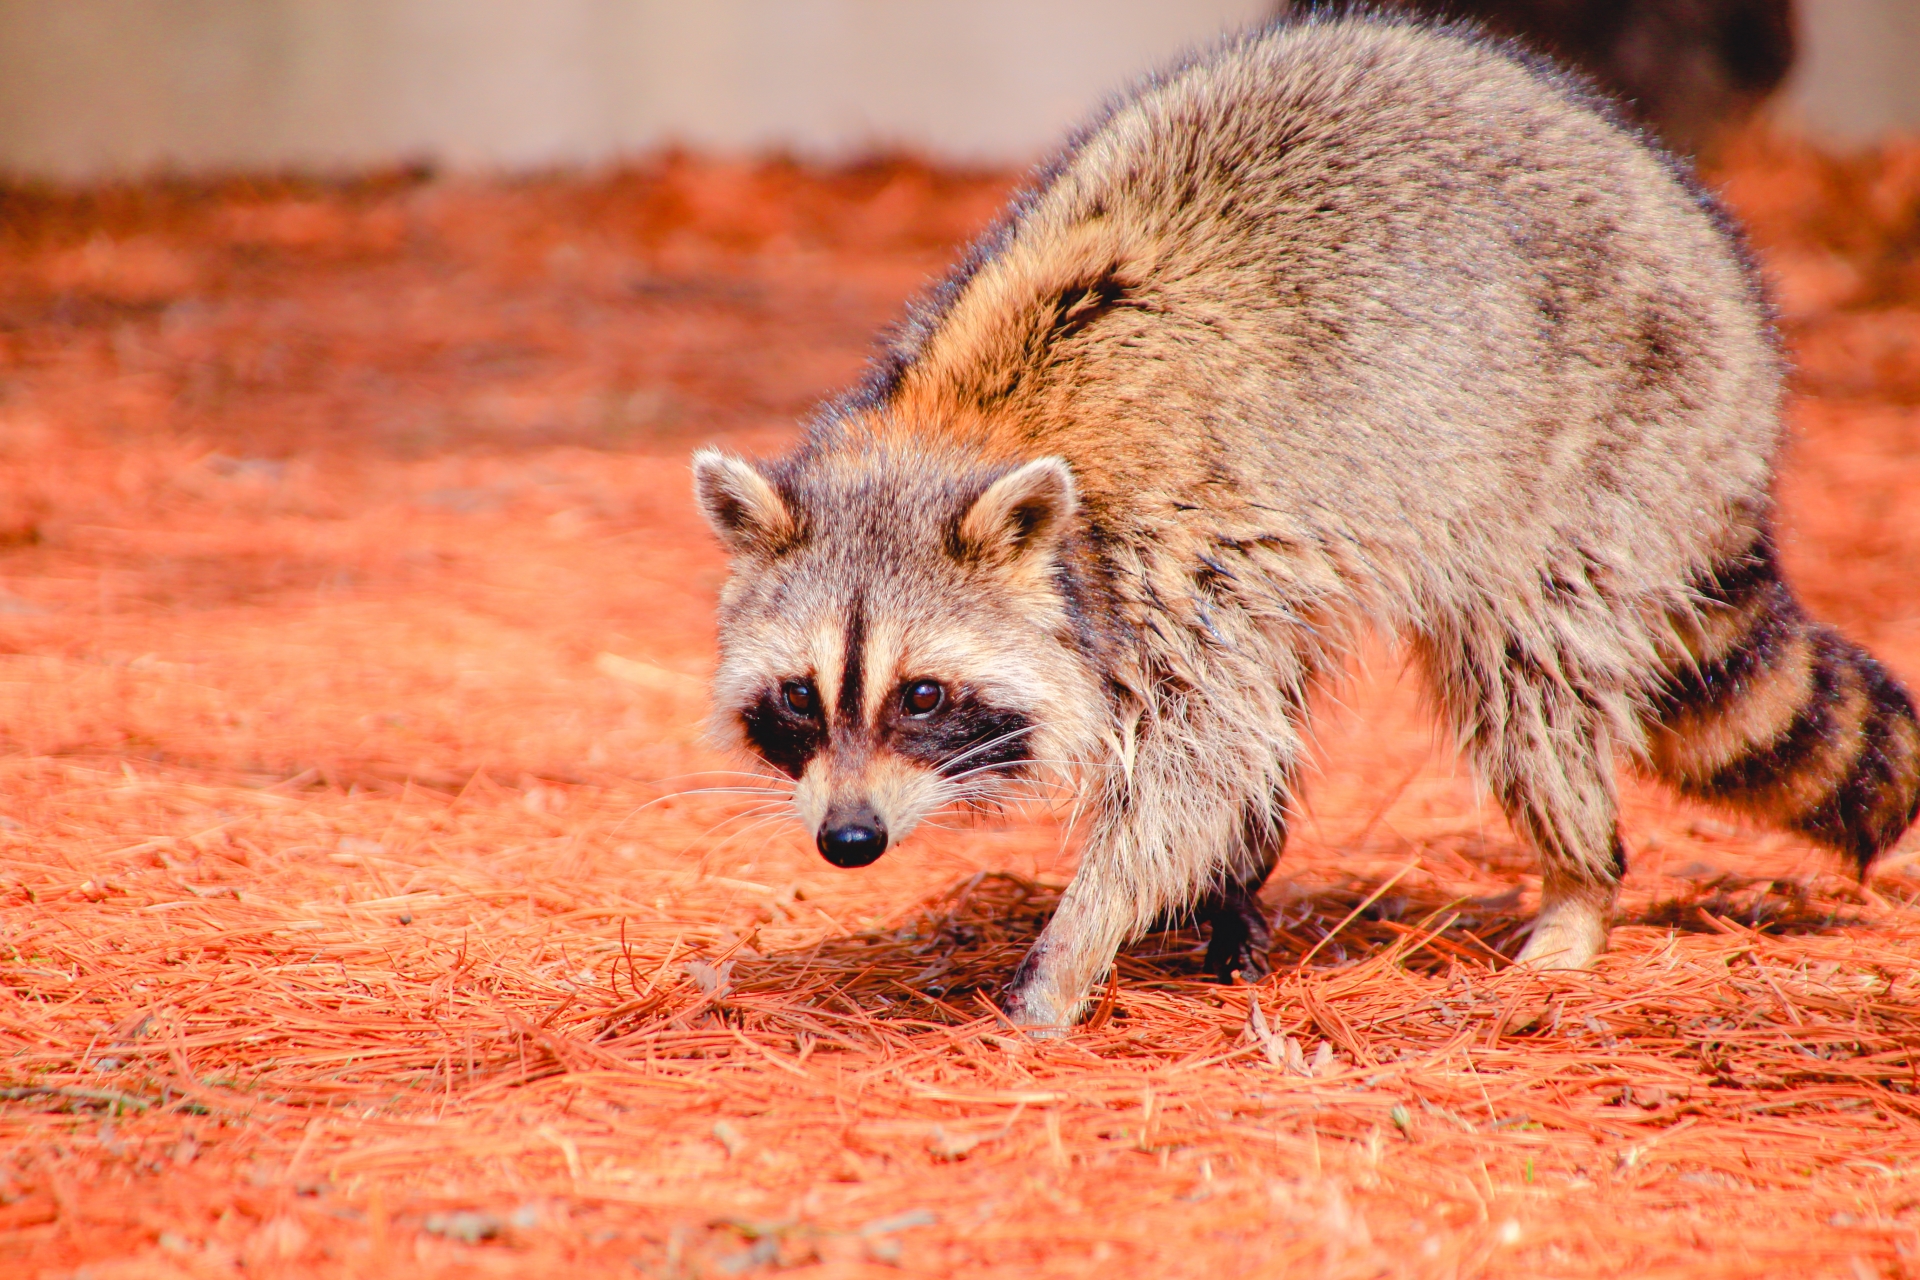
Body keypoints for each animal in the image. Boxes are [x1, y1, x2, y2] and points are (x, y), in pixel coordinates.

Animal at [691, 10, 1920, 1028]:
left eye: (923, 696)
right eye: (799, 696)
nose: (849, 839)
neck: (960, 426)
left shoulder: (1175, 554)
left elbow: (1196, 766)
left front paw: (1075, 944)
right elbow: (1234, 753)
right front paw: (1195, 897)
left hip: (1614, 442)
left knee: (1527, 675)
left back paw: (1578, 879)